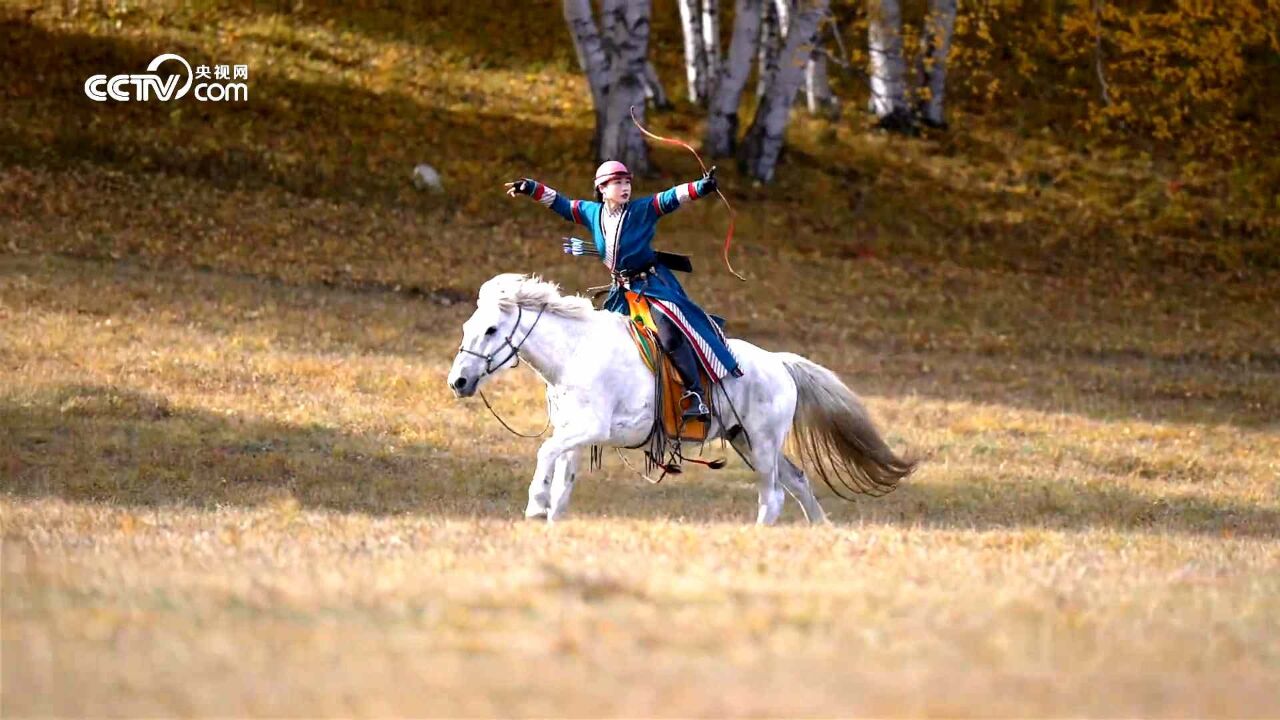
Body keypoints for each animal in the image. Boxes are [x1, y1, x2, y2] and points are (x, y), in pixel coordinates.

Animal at [445, 271, 916, 525]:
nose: (459, 381)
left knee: (773, 496)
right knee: (798, 481)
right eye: (469, 326)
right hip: (746, 441)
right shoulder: (574, 436)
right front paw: (550, 517)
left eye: (491, 329)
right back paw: (822, 529)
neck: (576, 352)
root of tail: (781, 365)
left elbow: (544, 454)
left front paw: (533, 506)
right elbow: (563, 483)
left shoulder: (589, 428)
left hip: (762, 445)